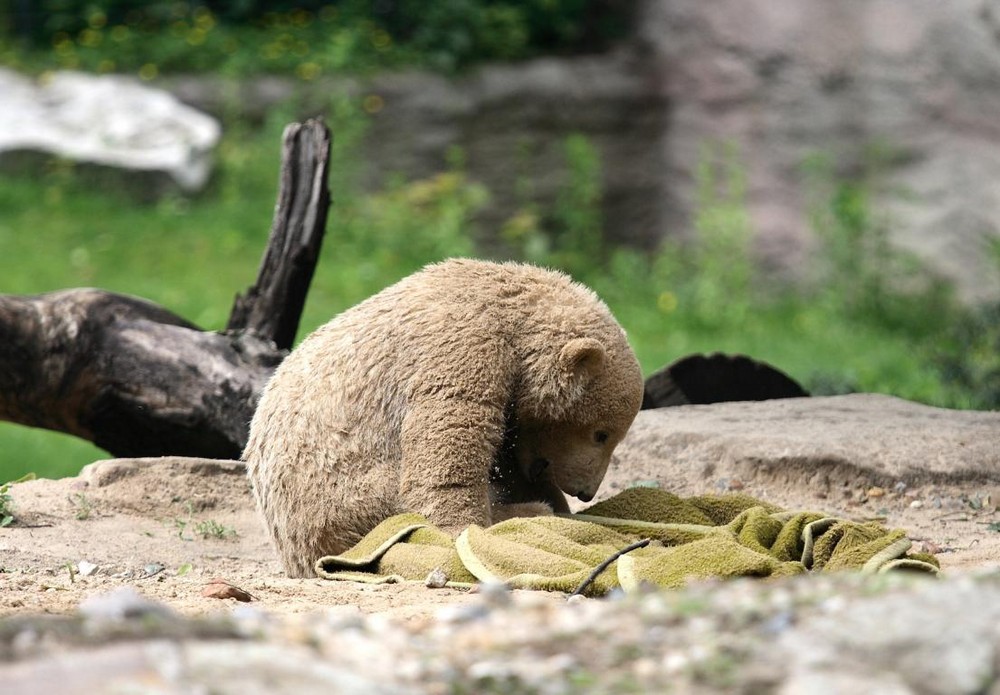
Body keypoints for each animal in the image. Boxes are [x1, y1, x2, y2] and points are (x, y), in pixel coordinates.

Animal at [246, 258, 644, 580]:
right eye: (601, 434)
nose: (586, 491)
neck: (510, 307)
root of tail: (293, 552)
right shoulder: (465, 346)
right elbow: (448, 450)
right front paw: (470, 531)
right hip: (341, 499)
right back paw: (528, 512)